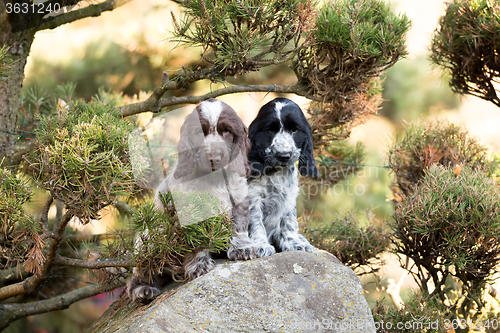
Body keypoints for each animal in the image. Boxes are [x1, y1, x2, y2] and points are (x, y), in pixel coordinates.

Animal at [127, 97, 256, 302]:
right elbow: (194, 241)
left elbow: (238, 227)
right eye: (199, 132)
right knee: (140, 273)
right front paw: (199, 265)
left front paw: (242, 249)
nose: (214, 158)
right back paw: (143, 290)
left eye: (227, 131)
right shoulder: (188, 212)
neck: (214, 177)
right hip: (148, 240)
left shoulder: (238, 199)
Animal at [247, 96, 320, 256]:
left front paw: (294, 243)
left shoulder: (289, 197)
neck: (276, 172)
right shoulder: (252, 198)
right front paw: (260, 245)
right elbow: (255, 222)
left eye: (294, 129)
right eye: (270, 130)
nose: (284, 155)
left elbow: (289, 222)